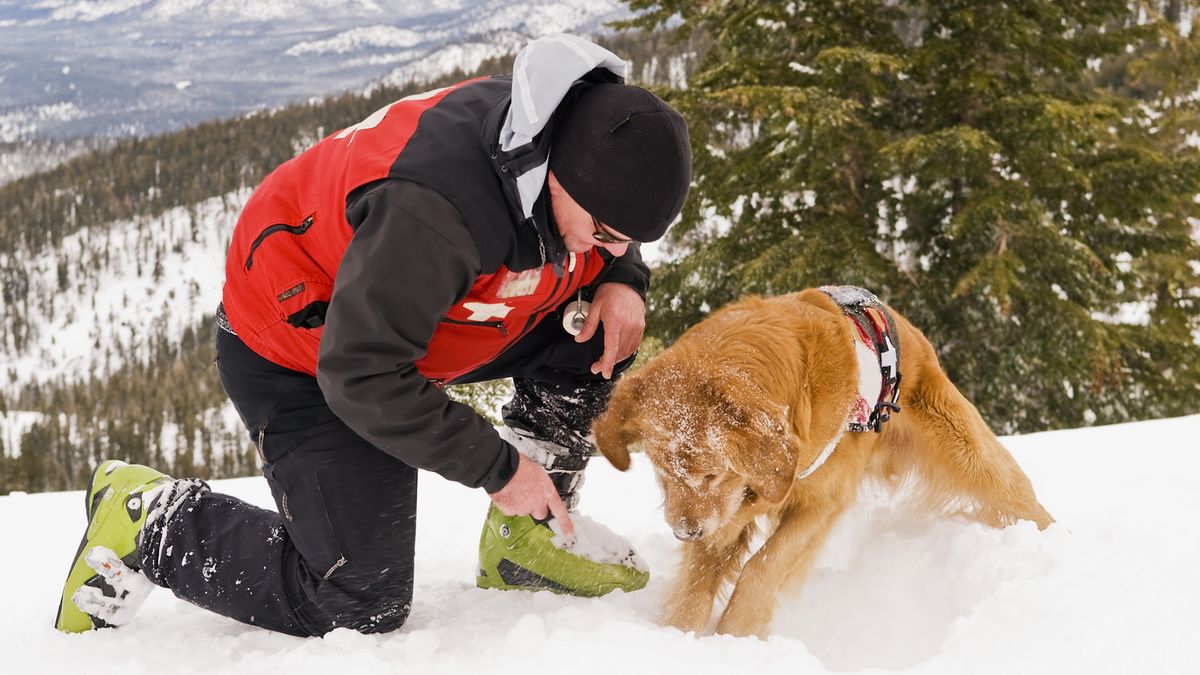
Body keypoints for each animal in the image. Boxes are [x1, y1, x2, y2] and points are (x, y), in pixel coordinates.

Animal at [590, 284, 1051, 634]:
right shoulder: (726, 514)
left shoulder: (819, 502)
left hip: (969, 454)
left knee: (1018, 494)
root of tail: (904, 326)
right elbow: (698, 585)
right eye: (661, 471)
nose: (685, 533)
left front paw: (737, 634)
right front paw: (680, 637)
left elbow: (762, 567)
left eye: (712, 474)